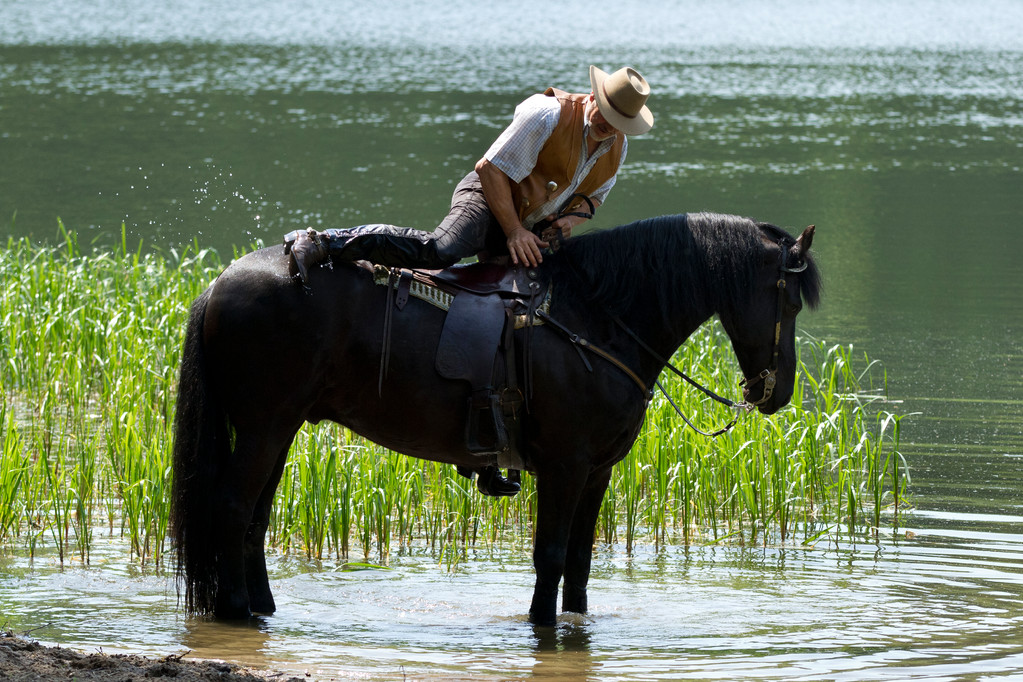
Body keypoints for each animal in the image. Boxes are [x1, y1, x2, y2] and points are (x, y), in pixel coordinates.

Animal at [171, 210, 818, 625]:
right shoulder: (564, 466)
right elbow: (550, 557)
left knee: (254, 518)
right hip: (264, 427)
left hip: (278, 429)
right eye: (788, 299)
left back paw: (261, 606)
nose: (777, 392)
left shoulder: (597, 472)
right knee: (233, 508)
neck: (597, 317)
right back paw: (236, 613)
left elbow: (579, 564)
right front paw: (542, 629)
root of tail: (221, 282)